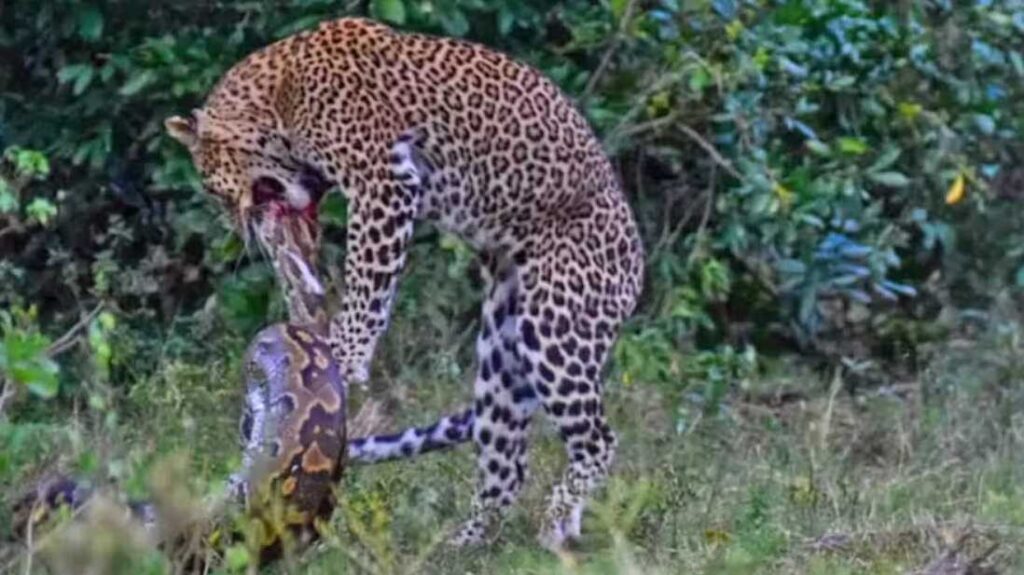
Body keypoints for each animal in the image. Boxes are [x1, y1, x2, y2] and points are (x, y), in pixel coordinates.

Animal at [165, 16, 644, 551]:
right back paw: (467, 543)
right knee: (506, 463)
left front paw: (345, 356)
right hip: (501, 352)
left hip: (556, 326)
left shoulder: (384, 181)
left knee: (598, 439)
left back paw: (555, 517)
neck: (278, 99)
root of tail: (636, 263)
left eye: (210, 186)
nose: (233, 223)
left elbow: (367, 280)